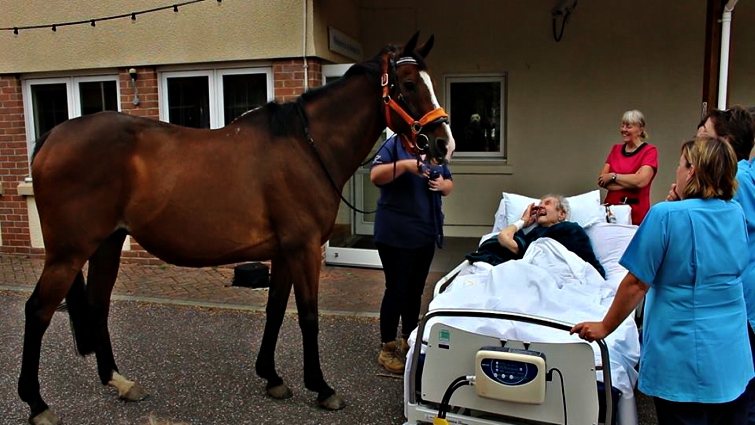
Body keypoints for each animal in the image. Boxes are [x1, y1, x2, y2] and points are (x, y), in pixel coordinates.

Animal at [18, 32, 455, 425]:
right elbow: (308, 316)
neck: (306, 146)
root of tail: (53, 136)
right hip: (68, 253)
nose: (442, 143)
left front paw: (272, 377)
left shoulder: (283, 251)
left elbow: (275, 310)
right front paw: (321, 387)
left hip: (108, 243)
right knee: (38, 311)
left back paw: (119, 381)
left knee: (98, 304)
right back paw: (37, 403)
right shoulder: (303, 248)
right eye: (409, 84)